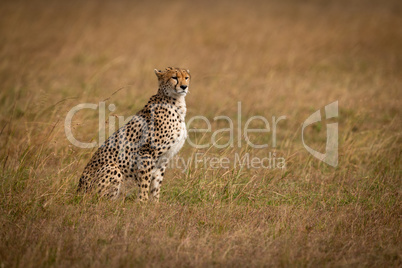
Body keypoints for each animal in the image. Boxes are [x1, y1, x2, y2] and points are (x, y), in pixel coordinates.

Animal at [78, 68, 192, 202]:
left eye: (186, 77)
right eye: (174, 77)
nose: (184, 87)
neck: (176, 103)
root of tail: (78, 191)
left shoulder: (163, 159)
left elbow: (156, 186)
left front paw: (155, 204)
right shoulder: (146, 154)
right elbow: (144, 183)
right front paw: (142, 203)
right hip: (112, 168)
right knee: (100, 200)